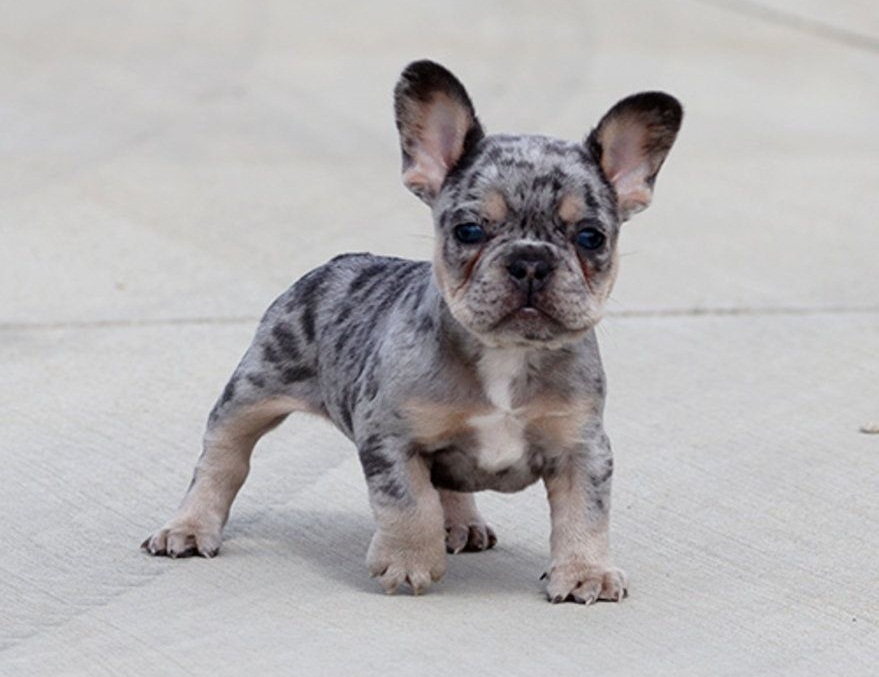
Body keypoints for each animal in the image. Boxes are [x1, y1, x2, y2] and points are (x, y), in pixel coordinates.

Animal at [143, 60, 680, 604]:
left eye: (591, 237)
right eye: (469, 231)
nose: (530, 261)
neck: (506, 353)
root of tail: (339, 260)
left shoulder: (581, 448)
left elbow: (585, 513)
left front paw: (585, 571)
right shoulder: (391, 437)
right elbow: (409, 502)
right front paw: (408, 562)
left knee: (450, 481)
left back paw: (462, 524)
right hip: (253, 390)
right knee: (222, 458)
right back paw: (189, 527)